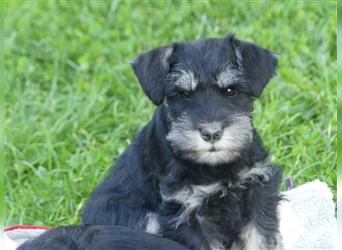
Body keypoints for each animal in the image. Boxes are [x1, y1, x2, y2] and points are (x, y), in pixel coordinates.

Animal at [82, 33, 284, 250]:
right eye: (183, 94)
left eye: (231, 90)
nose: (211, 133)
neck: (214, 168)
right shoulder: (184, 211)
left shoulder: (257, 186)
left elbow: (259, 237)